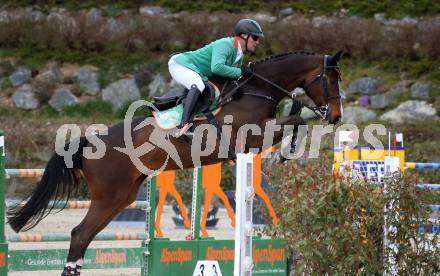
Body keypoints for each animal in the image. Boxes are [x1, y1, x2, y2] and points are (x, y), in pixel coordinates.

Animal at [6, 49, 344, 274]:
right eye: (331, 78)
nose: (337, 117)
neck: (255, 90)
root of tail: (88, 142)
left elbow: (295, 119)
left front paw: (288, 150)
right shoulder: (251, 137)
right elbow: (296, 119)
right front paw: (286, 153)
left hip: (120, 198)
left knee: (84, 236)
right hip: (108, 197)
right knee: (79, 235)